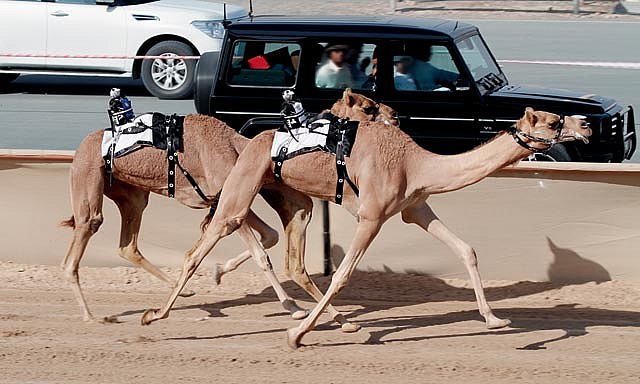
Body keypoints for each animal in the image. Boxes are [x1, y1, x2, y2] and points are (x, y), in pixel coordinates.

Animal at [62, 95, 398, 328]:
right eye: (368, 108)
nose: (394, 116)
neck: (237, 147)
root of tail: (81, 148)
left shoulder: (222, 203)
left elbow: (269, 236)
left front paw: (219, 271)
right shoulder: (229, 200)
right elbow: (262, 253)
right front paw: (293, 308)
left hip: (132, 195)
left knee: (127, 246)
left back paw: (182, 295)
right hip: (88, 182)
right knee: (79, 245)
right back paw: (92, 316)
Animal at [139, 89, 592, 348]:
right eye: (553, 120)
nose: (586, 123)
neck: (417, 163)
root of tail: (247, 140)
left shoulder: (414, 207)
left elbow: (467, 249)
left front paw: (496, 319)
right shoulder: (372, 215)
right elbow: (341, 275)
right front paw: (295, 336)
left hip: (289, 197)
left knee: (283, 252)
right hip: (242, 183)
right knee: (206, 241)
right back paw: (154, 315)